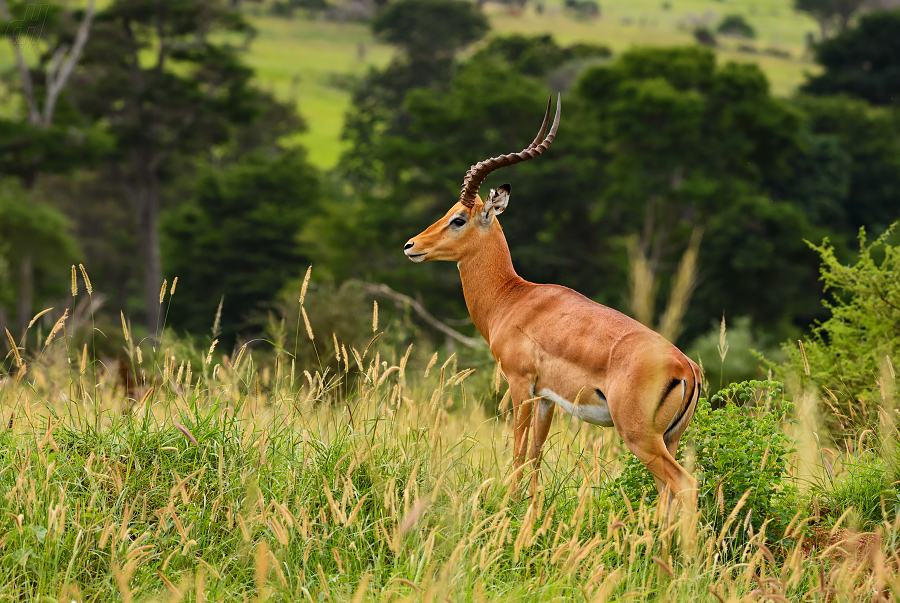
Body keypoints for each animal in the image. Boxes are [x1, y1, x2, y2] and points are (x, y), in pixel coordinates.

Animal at [402, 95, 704, 510]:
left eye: (459, 219)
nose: (411, 245)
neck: (513, 297)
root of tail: (686, 366)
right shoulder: (546, 398)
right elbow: (535, 455)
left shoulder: (519, 385)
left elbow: (517, 451)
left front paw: (507, 506)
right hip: (669, 439)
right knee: (667, 493)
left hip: (640, 437)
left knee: (685, 484)